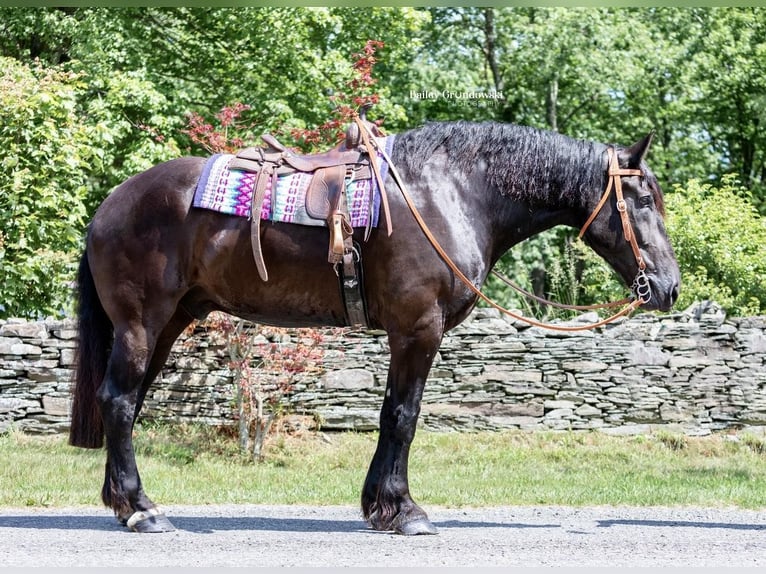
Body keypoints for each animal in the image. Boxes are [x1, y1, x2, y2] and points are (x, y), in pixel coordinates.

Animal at [69, 120, 680, 536]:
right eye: (643, 200)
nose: (669, 287)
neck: (453, 193)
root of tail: (111, 202)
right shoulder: (418, 329)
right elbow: (403, 417)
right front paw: (402, 510)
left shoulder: (409, 334)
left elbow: (393, 415)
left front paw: (379, 505)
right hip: (141, 324)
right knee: (119, 402)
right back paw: (141, 510)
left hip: (168, 324)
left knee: (128, 402)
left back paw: (123, 503)